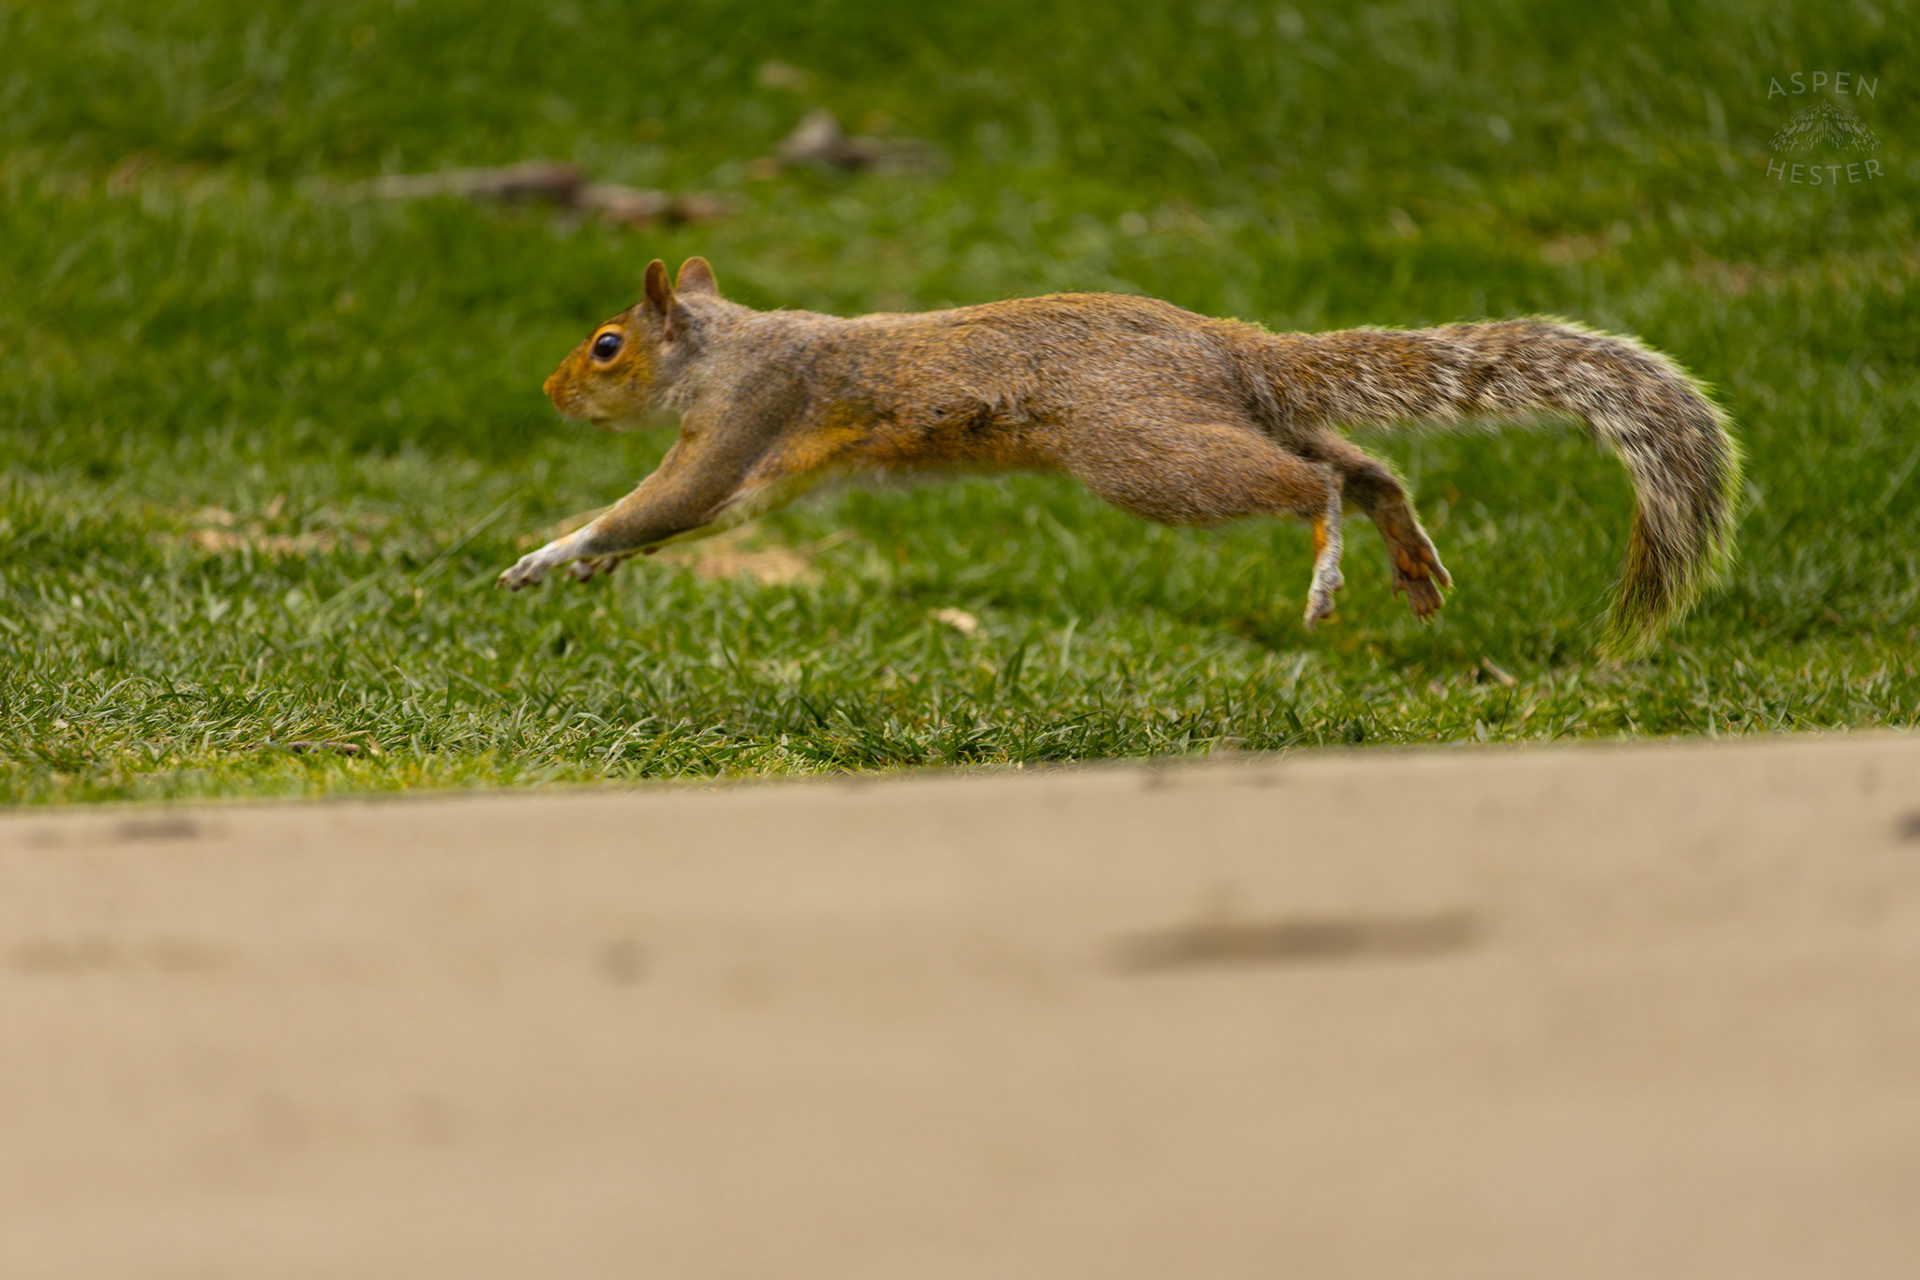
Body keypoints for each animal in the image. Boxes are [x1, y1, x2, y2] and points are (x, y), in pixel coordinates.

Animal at [501, 257, 1740, 655]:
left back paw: (1328, 562)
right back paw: (1409, 559)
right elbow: (699, 519)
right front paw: (591, 564)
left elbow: (669, 500)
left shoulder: (750, 417)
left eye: (607, 344)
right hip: (1225, 416)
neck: (725, 347)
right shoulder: (768, 469)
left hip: (1142, 451)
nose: (547, 391)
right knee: (1367, 465)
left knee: (1312, 482)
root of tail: (1226, 342)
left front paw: (552, 551)